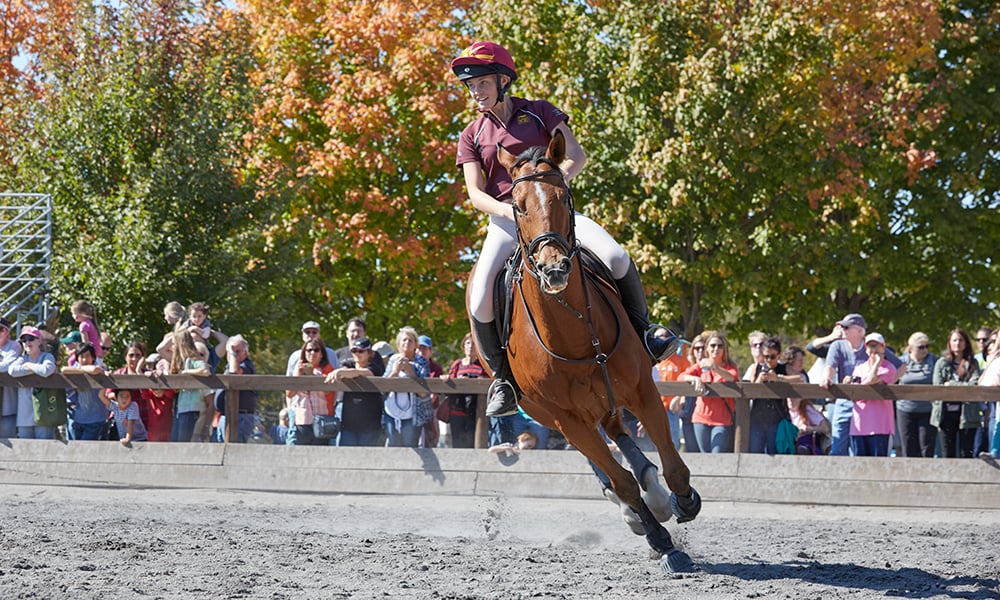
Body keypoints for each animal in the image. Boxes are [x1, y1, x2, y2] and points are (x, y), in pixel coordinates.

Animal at [470, 130, 700, 572]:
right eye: (517, 206)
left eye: (564, 198)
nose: (554, 269)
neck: (575, 333)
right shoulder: (567, 418)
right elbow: (620, 481)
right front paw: (661, 541)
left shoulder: (643, 389)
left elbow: (674, 466)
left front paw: (683, 502)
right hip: (552, 414)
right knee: (606, 461)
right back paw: (640, 512)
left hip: (606, 400)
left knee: (620, 435)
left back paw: (656, 494)